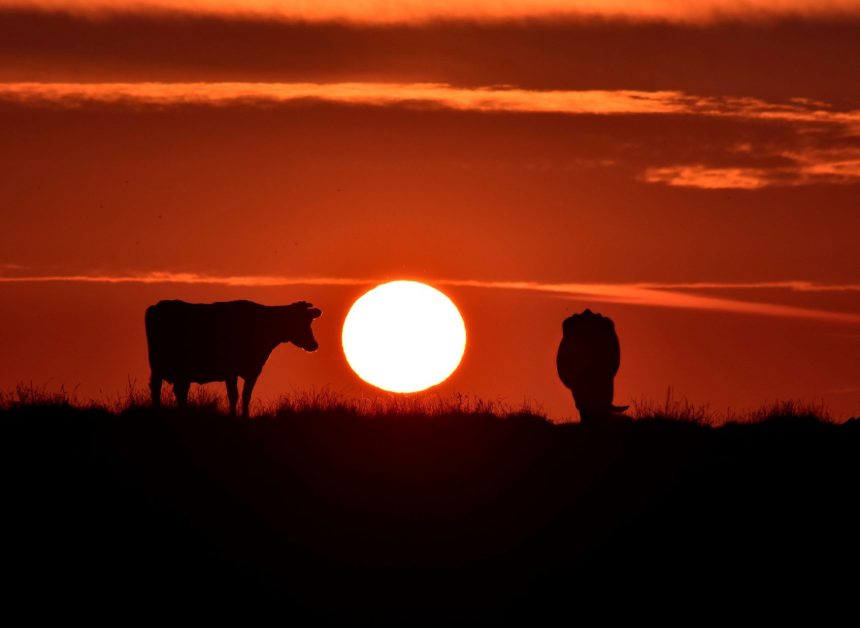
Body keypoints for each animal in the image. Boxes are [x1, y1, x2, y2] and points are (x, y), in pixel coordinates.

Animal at [145, 299, 321, 416]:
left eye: (310, 321)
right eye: (300, 321)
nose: (314, 344)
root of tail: (157, 306)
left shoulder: (253, 371)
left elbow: (246, 396)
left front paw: (245, 416)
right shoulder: (230, 371)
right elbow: (234, 395)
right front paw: (233, 416)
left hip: (179, 372)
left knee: (179, 391)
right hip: (159, 367)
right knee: (158, 389)